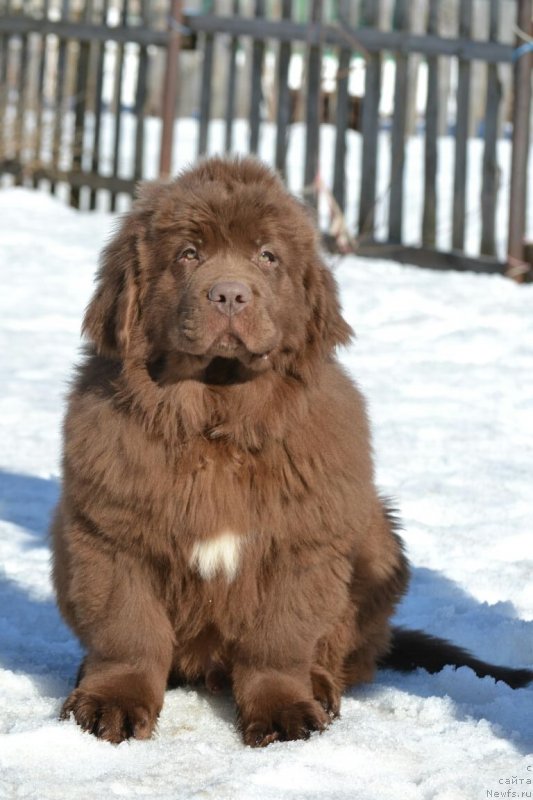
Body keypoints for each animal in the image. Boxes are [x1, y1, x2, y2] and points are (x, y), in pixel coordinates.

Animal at [52, 158, 528, 752]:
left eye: (267, 256)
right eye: (189, 253)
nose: (230, 295)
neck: (219, 421)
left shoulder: (302, 540)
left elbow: (279, 640)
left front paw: (282, 712)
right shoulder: (113, 533)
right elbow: (128, 631)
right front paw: (110, 704)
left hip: (376, 536)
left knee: (343, 652)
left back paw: (321, 687)